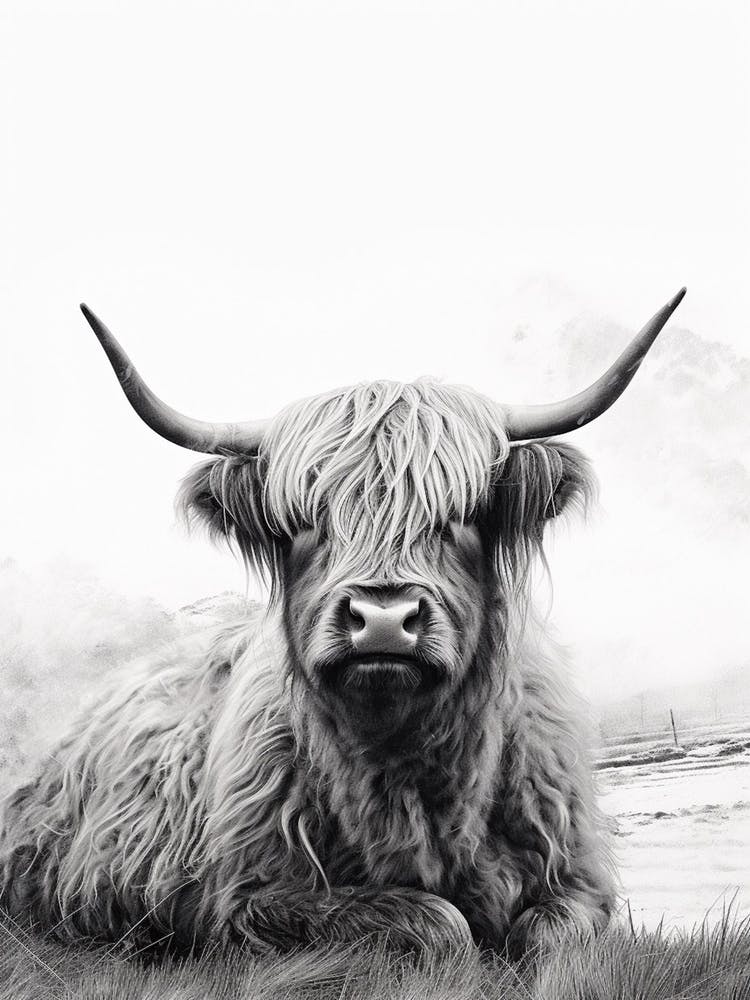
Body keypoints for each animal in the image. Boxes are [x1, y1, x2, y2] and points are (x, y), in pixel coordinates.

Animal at [0, 289, 685, 958]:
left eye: (459, 516)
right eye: (304, 522)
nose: (382, 620)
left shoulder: (576, 877)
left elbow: (545, 938)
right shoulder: (249, 900)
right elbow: (442, 926)